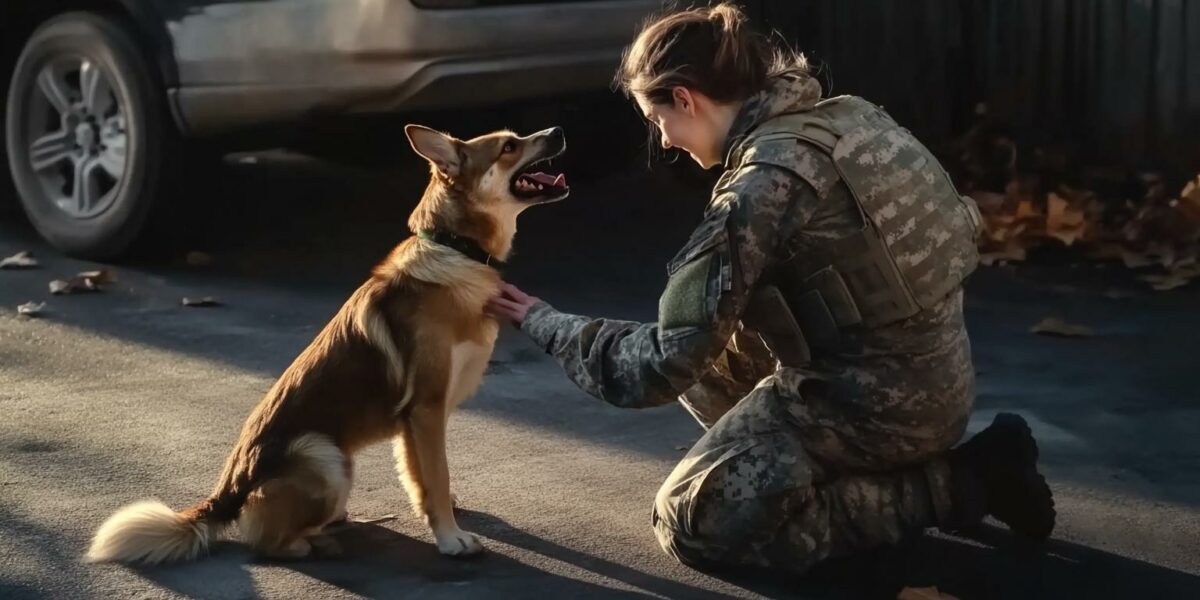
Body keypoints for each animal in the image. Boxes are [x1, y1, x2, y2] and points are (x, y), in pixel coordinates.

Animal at [88, 124, 566, 564]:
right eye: (509, 146)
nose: (558, 130)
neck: (457, 250)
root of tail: (225, 494)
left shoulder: (418, 420)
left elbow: (421, 477)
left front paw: (438, 514)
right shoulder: (427, 408)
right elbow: (438, 474)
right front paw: (451, 539)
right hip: (325, 457)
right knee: (262, 542)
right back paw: (308, 542)